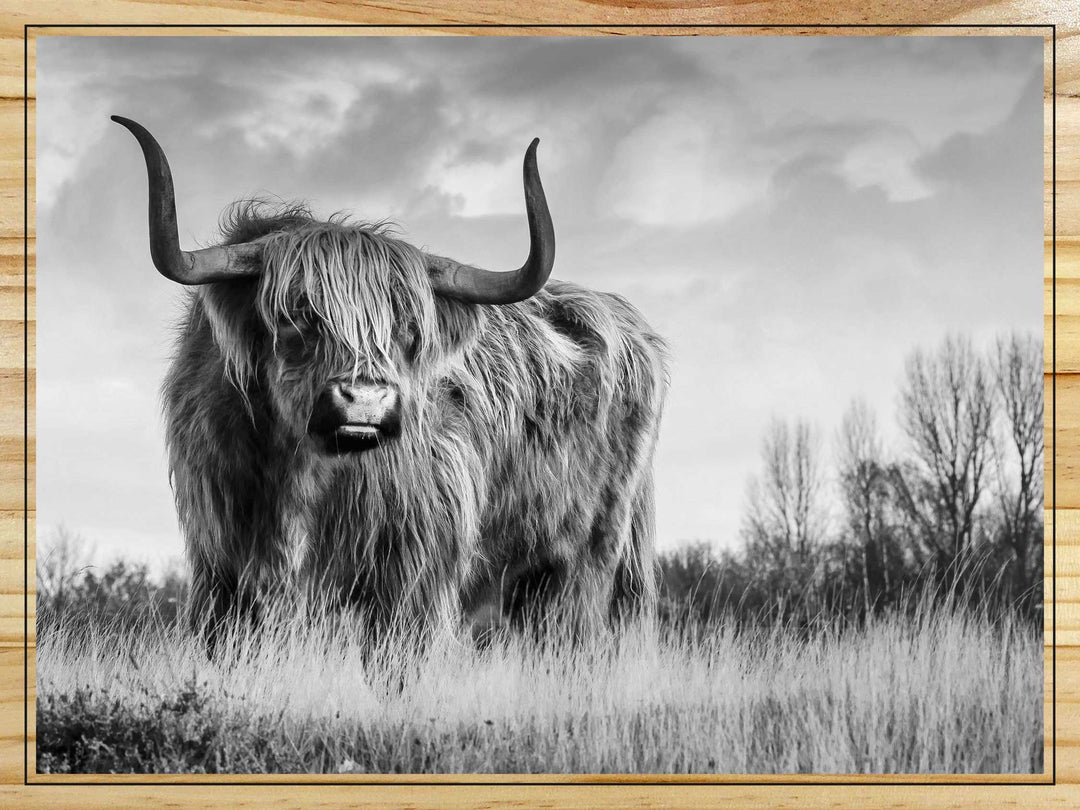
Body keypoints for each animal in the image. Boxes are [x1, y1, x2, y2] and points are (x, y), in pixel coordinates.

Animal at [113, 116, 669, 651]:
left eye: (408, 329)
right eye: (298, 316)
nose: (365, 401)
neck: (302, 476)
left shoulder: (415, 572)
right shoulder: (221, 569)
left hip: (585, 565)